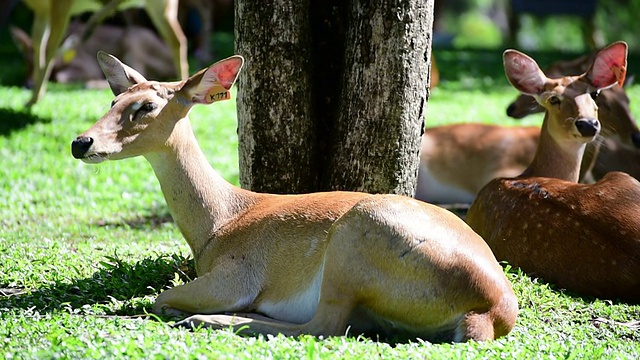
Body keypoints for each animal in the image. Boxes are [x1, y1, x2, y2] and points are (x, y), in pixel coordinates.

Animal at [20, 0, 189, 107]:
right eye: (25, 62)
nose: (27, 84)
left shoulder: (59, 7)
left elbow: (49, 51)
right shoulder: (42, 12)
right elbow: (39, 46)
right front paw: (32, 99)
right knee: (178, 40)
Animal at [71, 51, 520, 344]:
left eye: (146, 106)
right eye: (113, 100)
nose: (81, 142)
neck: (218, 225)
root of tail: (492, 310)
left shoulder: (237, 274)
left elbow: (157, 298)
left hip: (355, 243)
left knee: (323, 327)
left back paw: (213, 319)